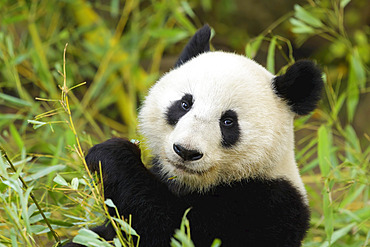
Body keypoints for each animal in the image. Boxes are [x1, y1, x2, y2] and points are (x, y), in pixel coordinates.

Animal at [65, 25, 322, 247]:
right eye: (185, 104)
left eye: (228, 121)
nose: (186, 151)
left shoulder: (268, 206)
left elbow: (167, 231)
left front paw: (111, 155)